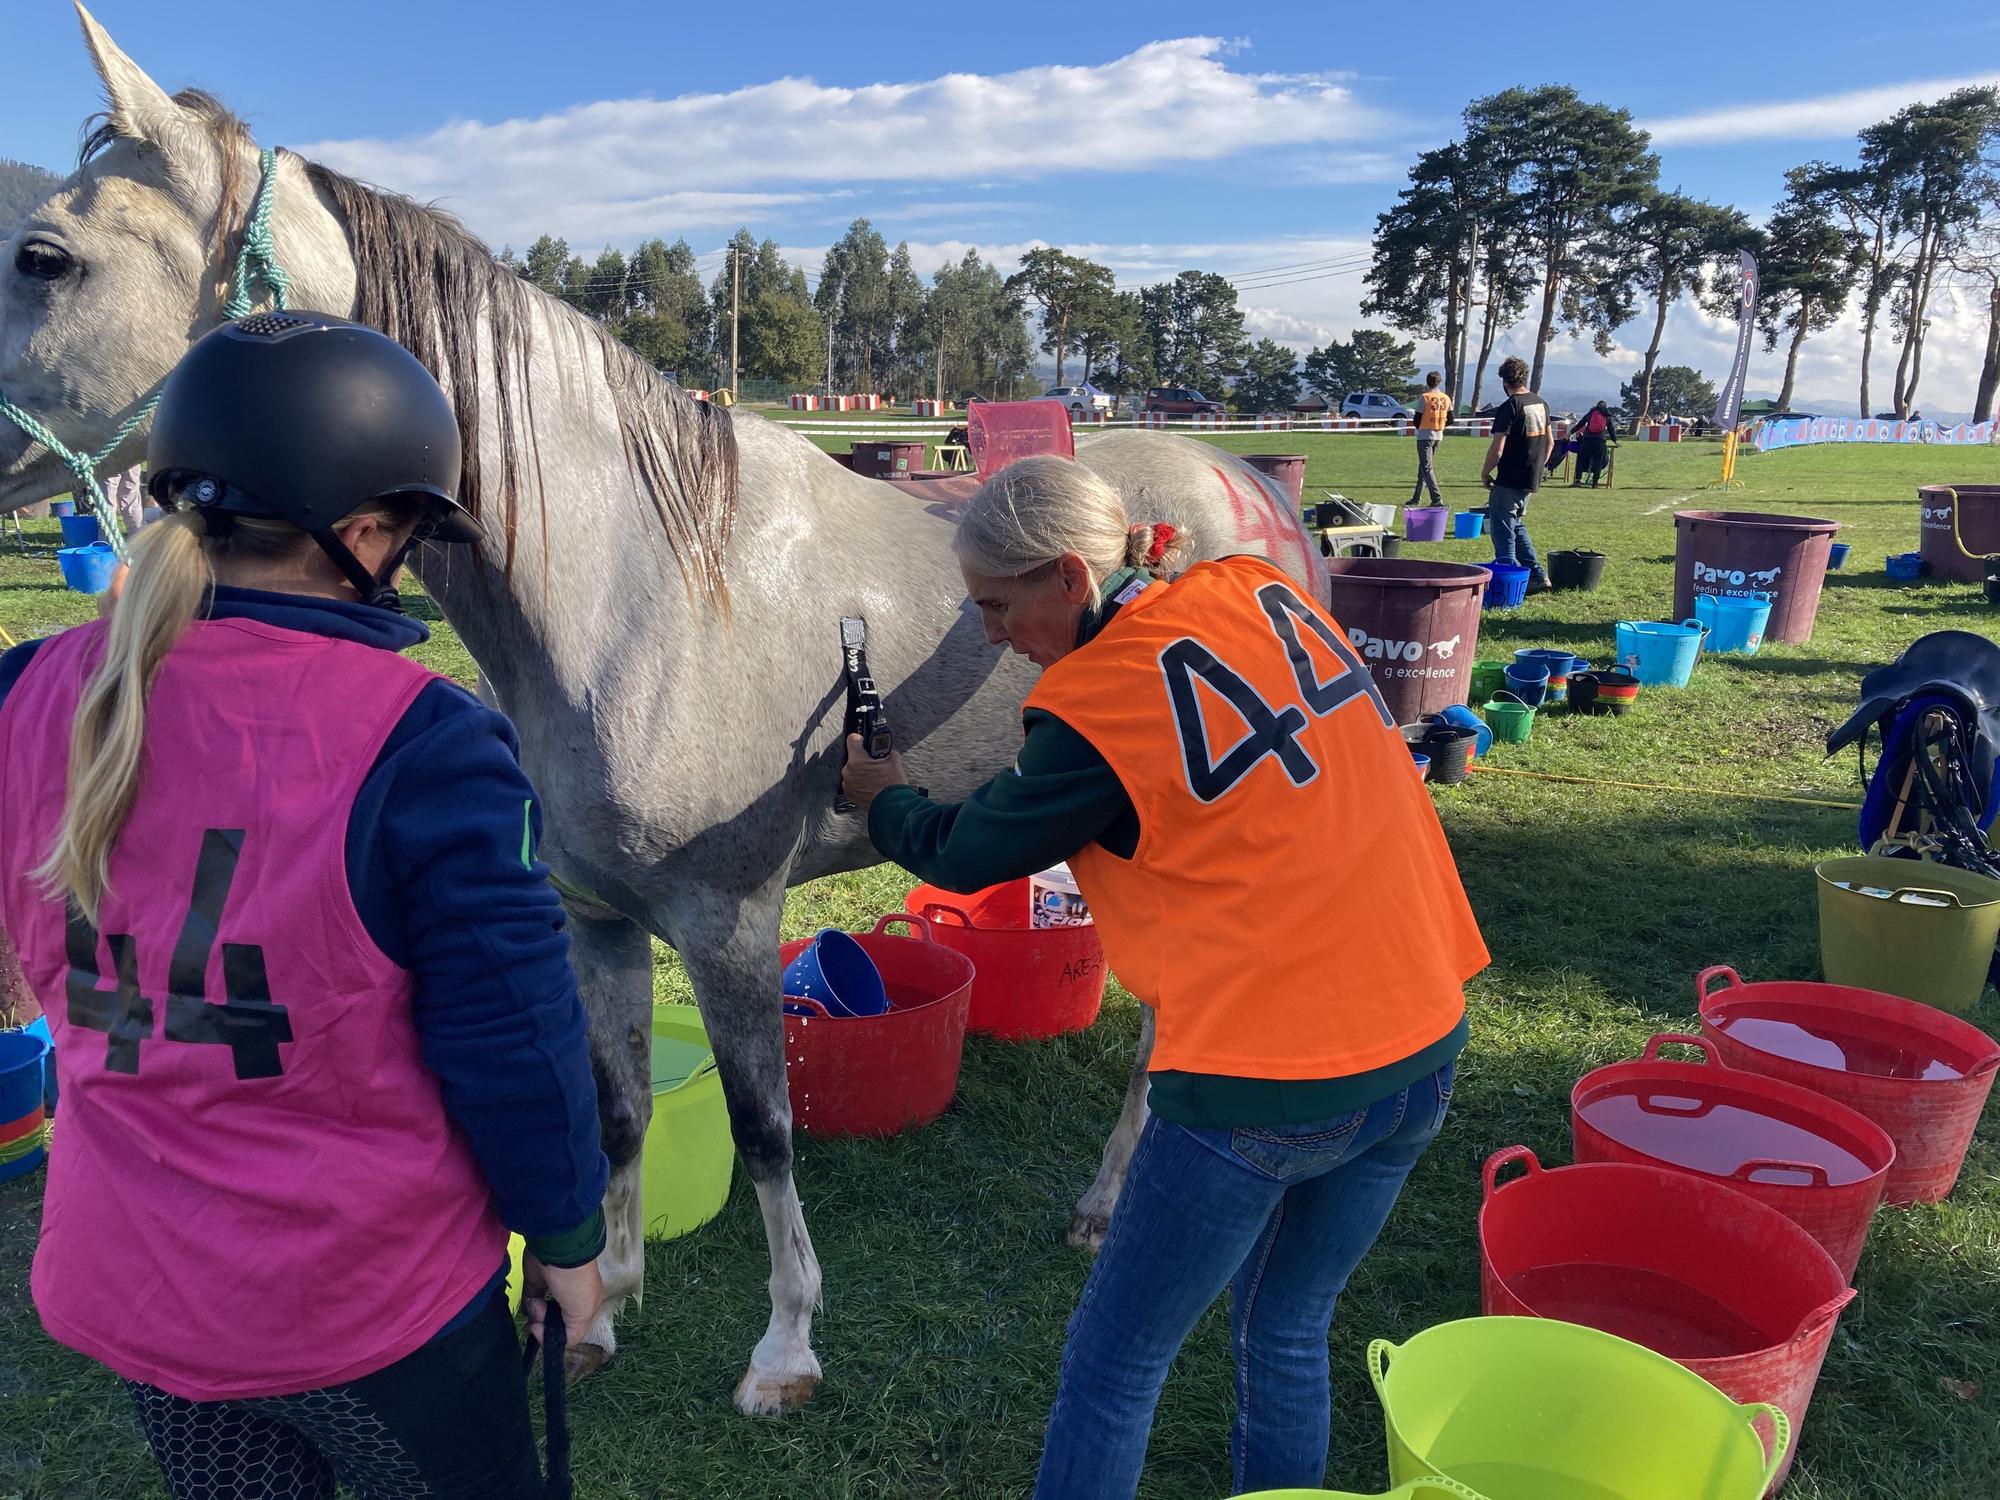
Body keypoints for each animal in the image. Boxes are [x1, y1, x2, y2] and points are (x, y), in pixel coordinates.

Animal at [3, 8, 1328, 1424]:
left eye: (46, 256)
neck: (640, 592)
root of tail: (1245, 489)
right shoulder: (595, 923)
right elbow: (618, 1109)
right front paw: (600, 1311)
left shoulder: (729, 922)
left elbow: (764, 1130)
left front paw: (785, 1349)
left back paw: (1109, 1201)